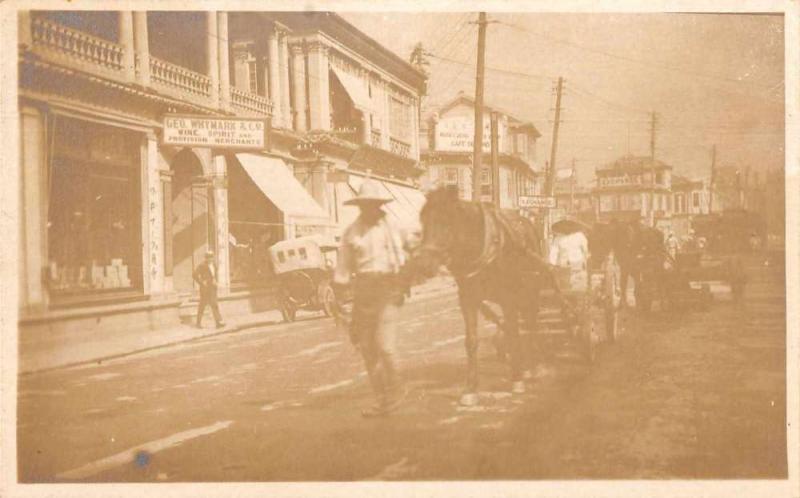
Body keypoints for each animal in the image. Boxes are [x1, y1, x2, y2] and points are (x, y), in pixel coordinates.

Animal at [406, 185, 552, 406]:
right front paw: (470, 389)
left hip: (531, 290)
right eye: (423, 221)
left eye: (446, 222)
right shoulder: (468, 299)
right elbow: (472, 341)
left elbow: (513, 334)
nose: (422, 265)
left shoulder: (509, 297)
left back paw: (533, 365)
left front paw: (517, 379)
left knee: (530, 323)